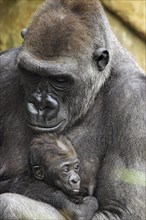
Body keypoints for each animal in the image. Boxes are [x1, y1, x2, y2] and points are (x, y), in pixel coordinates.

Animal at [0, 0, 146, 220]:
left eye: (60, 80)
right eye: (32, 74)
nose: (41, 105)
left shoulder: (135, 101)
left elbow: (118, 211)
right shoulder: (4, 68)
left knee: (8, 204)